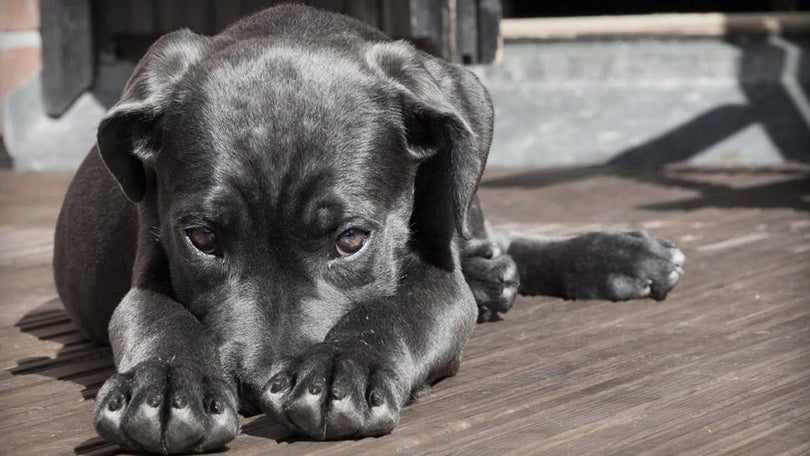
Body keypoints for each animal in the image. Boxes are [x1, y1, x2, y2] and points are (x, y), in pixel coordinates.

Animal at [52, 5, 680, 454]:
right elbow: (157, 317)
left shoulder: (437, 275)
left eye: (351, 239)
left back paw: (615, 256)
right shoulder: (149, 266)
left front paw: (340, 368)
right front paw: (165, 385)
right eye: (202, 239)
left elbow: (396, 309)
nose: (255, 386)